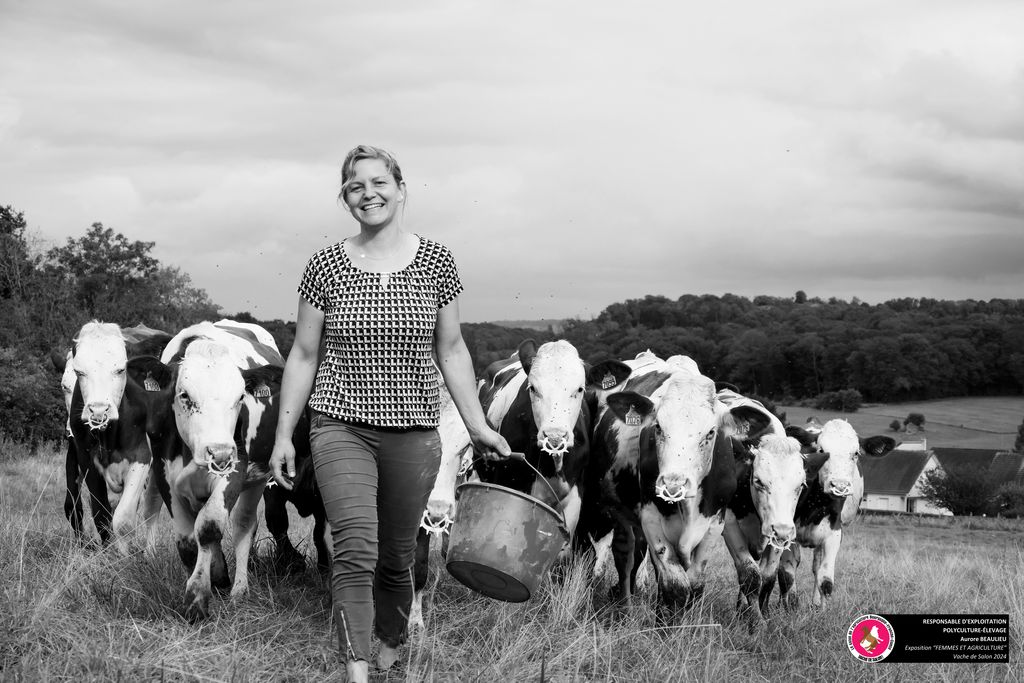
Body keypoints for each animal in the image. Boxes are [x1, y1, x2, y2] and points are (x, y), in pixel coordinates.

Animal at [61, 321, 172, 548]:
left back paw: (150, 551)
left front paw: (125, 554)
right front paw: (108, 551)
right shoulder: (84, 456)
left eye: (121, 370)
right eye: (79, 372)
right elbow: (99, 513)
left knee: (152, 507)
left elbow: (123, 519)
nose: (99, 411)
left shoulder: (142, 456)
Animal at [778, 419, 892, 610]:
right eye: (821, 450)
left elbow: (825, 580)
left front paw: (822, 611)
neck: (813, 506)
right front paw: (787, 608)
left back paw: (815, 603)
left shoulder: (834, 533)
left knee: (816, 566)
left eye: (855, 453)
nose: (839, 486)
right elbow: (786, 574)